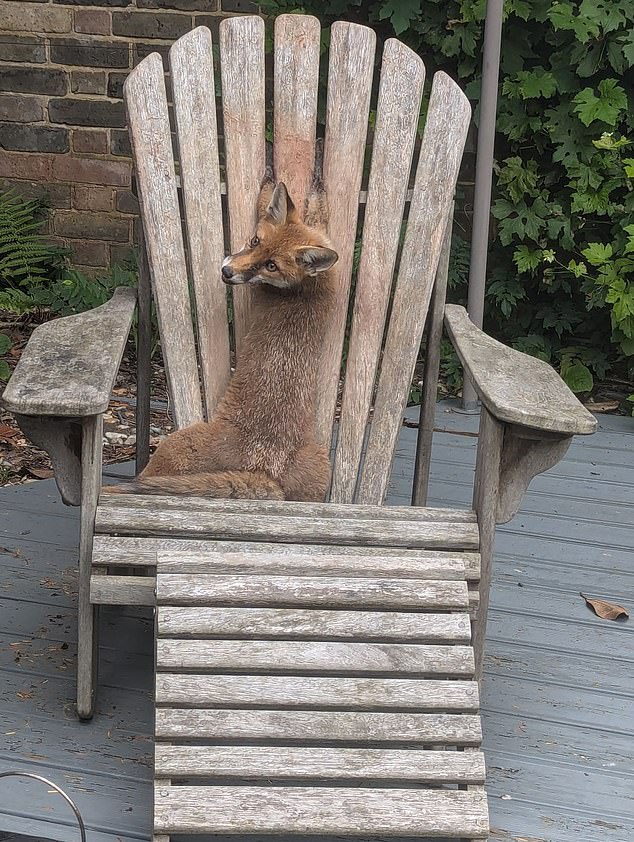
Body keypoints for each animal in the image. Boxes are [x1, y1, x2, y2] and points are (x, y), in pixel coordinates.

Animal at [105, 147, 336, 498]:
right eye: (254, 242)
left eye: (270, 266)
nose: (228, 272)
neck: (309, 285)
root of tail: (262, 468)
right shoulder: (325, 239)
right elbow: (317, 206)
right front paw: (314, 172)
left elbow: (264, 198)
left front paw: (270, 175)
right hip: (320, 470)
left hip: (176, 445)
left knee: (147, 476)